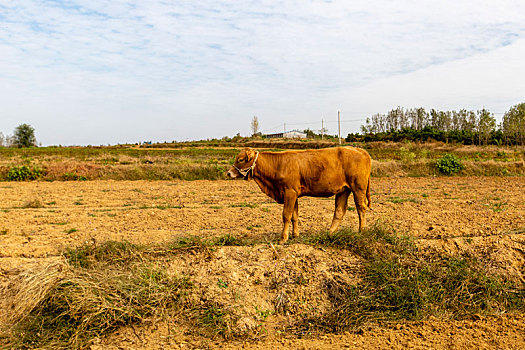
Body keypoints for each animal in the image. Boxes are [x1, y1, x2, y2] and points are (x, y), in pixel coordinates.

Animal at [227, 146, 370, 242]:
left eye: (240, 160)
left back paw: (362, 231)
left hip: (358, 188)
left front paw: (283, 238)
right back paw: (330, 233)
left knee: (361, 208)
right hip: (343, 190)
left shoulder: (289, 192)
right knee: (339, 211)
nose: (228, 173)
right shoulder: (293, 194)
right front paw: (295, 235)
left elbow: (286, 215)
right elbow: (294, 216)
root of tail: (358, 149)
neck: (277, 166)